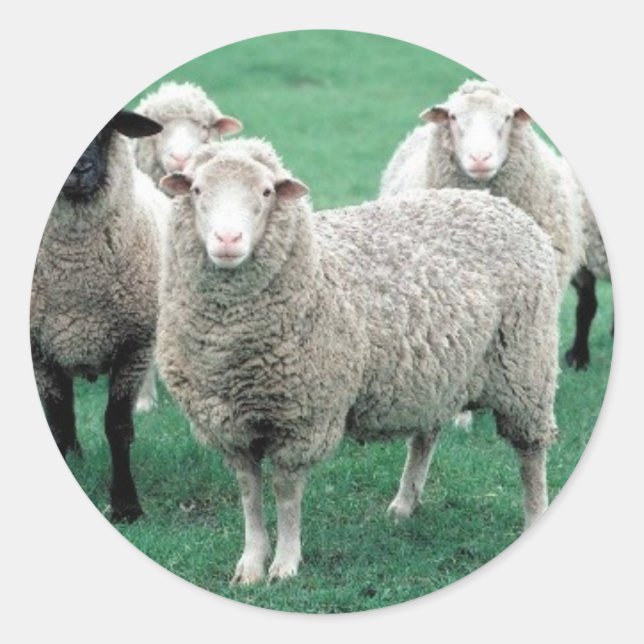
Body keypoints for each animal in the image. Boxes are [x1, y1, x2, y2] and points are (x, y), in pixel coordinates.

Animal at [30, 110, 165, 522]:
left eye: (110, 128)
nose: (79, 169)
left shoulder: (135, 346)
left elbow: (118, 427)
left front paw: (126, 505)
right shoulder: (41, 350)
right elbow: (58, 421)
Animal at [156, 138, 560, 584]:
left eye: (265, 192)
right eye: (197, 190)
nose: (228, 239)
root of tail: (494, 203)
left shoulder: (303, 418)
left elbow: (285, 493)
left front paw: (285, 564)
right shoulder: (228, 425)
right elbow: (249, 493)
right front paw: (250, 563)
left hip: (526, 366)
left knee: (531, 454)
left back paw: (534, 514)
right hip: (437, 372)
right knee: (426, 436)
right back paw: (404, 504)